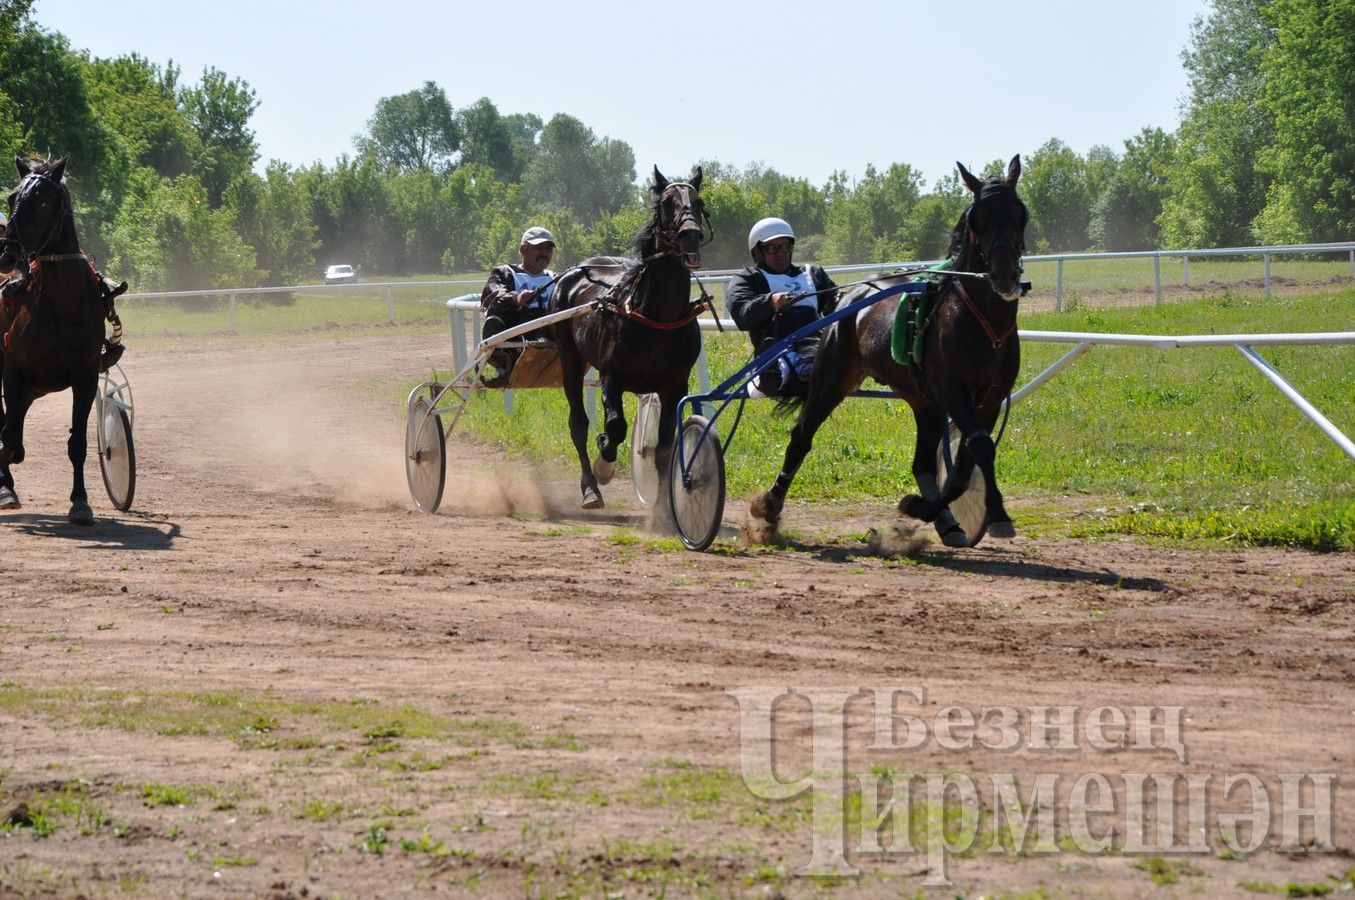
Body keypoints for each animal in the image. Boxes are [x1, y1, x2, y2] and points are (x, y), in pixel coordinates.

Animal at [0, 157, 107, 523]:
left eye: (44, 201)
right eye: (12, 198)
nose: (7, 254)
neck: (63, 306)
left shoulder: (85, 378)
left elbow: (78, 444)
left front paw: (80, 502)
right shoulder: (14, 373)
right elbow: (10, 440)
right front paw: (6, 486)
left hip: (35, 390)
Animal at [550, 162, 710, 512]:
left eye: (699, 202)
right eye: (667, 203)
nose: (690, 235)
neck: (657, 318)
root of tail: (573, 272)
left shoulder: (674, 385)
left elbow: (665, 444)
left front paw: (664, 506)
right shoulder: (612, 377)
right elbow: (615, 427)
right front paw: (604, 463)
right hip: (570, 359)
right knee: (577, 424)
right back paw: (591, 488)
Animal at [753, 155, 1024, 547]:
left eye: (1020, 213)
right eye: (978, 219)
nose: (1004, 275)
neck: (985, 323)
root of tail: (848, 296)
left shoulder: (990, 397)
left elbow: (968, 458)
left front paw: (926, 508)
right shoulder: (953, 389)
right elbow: (979, 446)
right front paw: (998, 515)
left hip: (923, 400)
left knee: (922, 463)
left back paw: (944, 520)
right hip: (832, 380)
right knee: (801, 436)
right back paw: (770, 505)